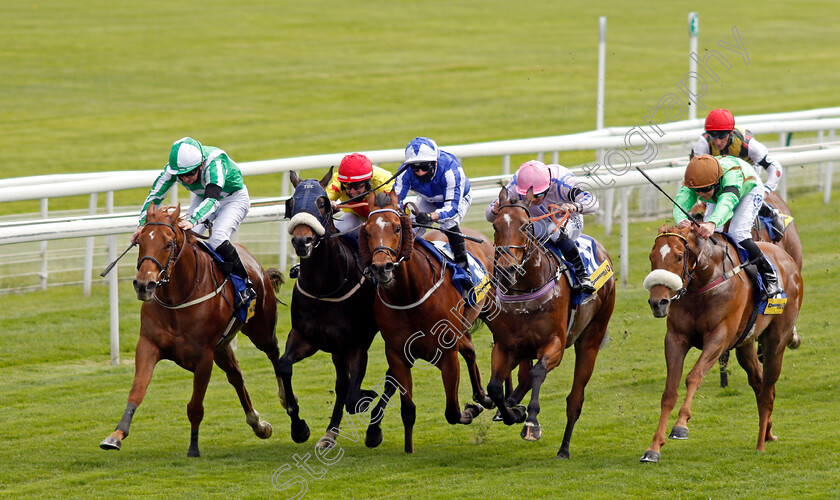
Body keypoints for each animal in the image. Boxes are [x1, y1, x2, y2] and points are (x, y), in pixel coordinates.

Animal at [99, 204, 286, 458]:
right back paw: (258, 424)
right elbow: (137, 391)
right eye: (140, 242)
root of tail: (256, 264)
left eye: (168, 243)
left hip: (261, 330)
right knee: (236, 376)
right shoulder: (148, 345)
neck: (178, 297)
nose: (144, 285)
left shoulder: (204, 356)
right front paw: (116, 435)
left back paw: (288, 401)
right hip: (223, 348)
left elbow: (195, 406)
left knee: (275, 354)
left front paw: (194, 447)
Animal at [278, 168, 378, 446]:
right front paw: (299, 427)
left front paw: (368, 397)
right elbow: (284, 365)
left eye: (322, 203)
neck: (324, 288)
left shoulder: (357, 345)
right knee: (342, 383)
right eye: (292, 203)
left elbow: (354, 397)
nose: (302, 241)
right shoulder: (305, 337)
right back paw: (330, 432)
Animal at [358, 190, 496, 454]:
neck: (410, 294)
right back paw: (483, 396)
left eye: (397, 228)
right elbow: (407, 408)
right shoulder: (398, 354)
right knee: (470, 350)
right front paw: (406, 448)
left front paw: (472, 409)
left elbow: (453, 412)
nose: (381, 268)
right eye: (367, 231)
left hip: (492, 308)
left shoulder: (447, 355)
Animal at [486, 187, 616, 458]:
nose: (506, 270)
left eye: (526, 226)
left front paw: (531, 423)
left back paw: (564, 449)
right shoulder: (506, 346)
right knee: (523, 379)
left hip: (591, 338)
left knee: (575, 399)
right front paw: (512, 412)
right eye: (495, 226)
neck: (526, 290)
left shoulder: (554, 343)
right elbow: (494, 387)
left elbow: (538, 372)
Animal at [640, 225, 804, 462]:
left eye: (679, 256)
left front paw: (680, 425)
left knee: (768, 389)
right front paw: (654, 447)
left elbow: (694, 376)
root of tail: (788, 259)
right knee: (758, 382)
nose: (658, 302)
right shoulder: (675, 339)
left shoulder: (719, 337)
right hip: (746, 344)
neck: (704, 280)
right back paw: (768, 432)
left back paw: (760, 444)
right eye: (652, 257)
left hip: (777, 340)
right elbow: (669, 392)